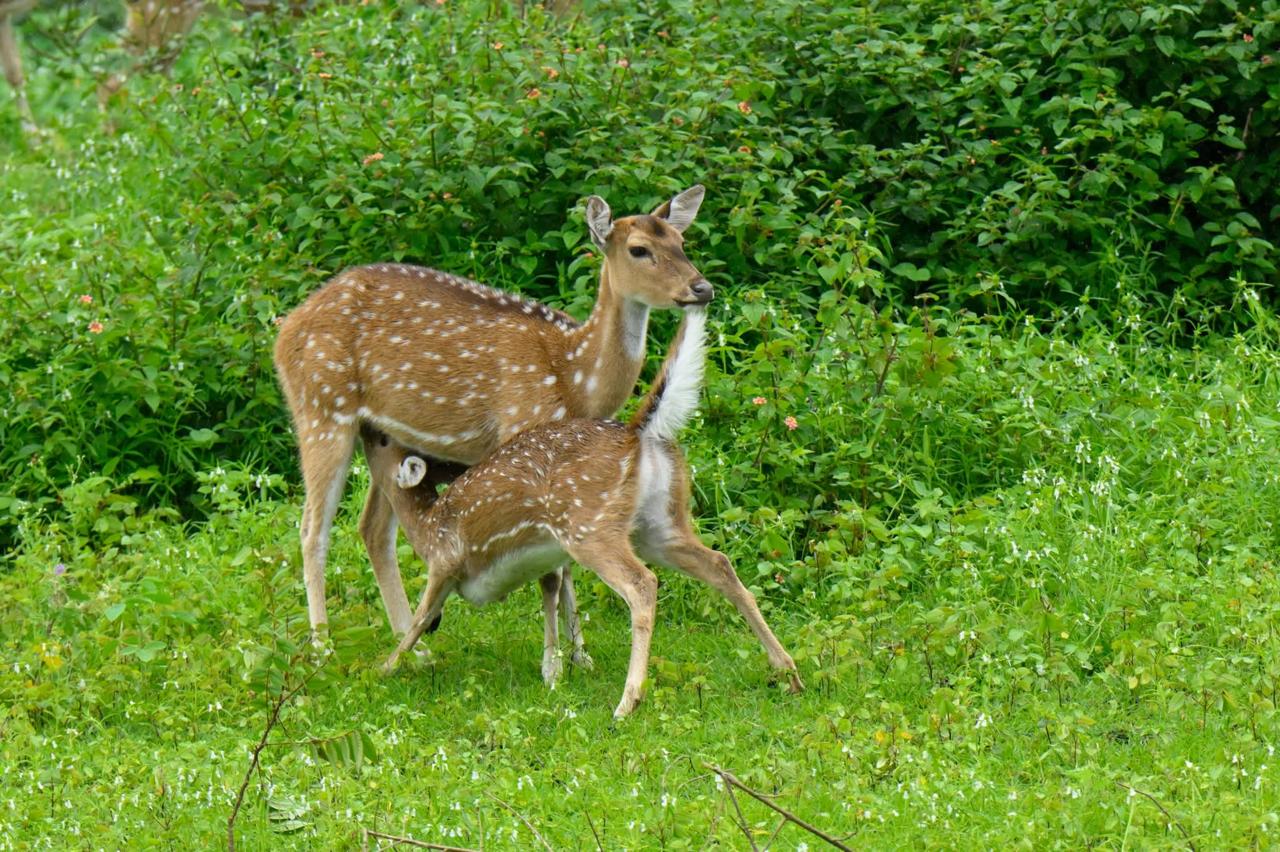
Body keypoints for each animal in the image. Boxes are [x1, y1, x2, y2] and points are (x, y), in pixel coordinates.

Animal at [272, 185, 713, 653]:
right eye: (639, 249)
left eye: (681, 242)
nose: (702, 287)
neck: (576, 376)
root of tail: (285, 330)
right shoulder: (521, 426)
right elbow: (557, 567)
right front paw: (566, 657)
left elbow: (566, 562)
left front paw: (580, 653)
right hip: (320, 407)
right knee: (312, 529)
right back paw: (323, 646)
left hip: (382, 434)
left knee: (372, 529)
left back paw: (415, 645)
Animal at [370, 305, 802, 717]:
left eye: (386, 443)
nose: (370, 429)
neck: (427, 526)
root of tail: (637, 435)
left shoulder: (445, 562)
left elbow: (419, 619)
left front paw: (385, 669)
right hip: (659, 522)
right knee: (719, 563)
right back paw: (788, 672)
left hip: (588, 522)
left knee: (643, 584)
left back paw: (627, 703)